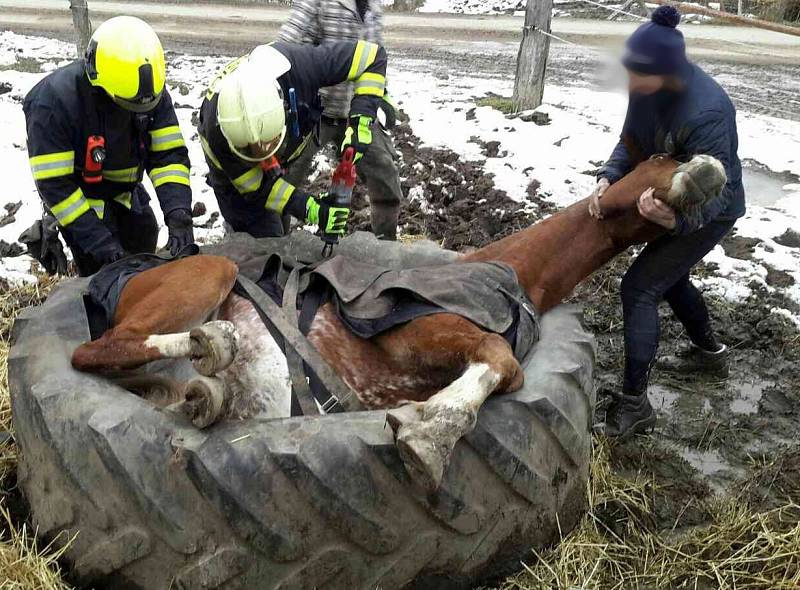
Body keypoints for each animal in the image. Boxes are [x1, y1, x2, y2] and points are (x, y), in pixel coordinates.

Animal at [72, 155, 728, 492]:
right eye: (658, 158)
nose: (712, 167)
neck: (507, 274)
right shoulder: (421, 333)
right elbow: (500, 363)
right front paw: (430, 433)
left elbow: (508, 371)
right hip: (206, 272)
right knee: (96, 351)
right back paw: (210, 341)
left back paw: (204, 388)